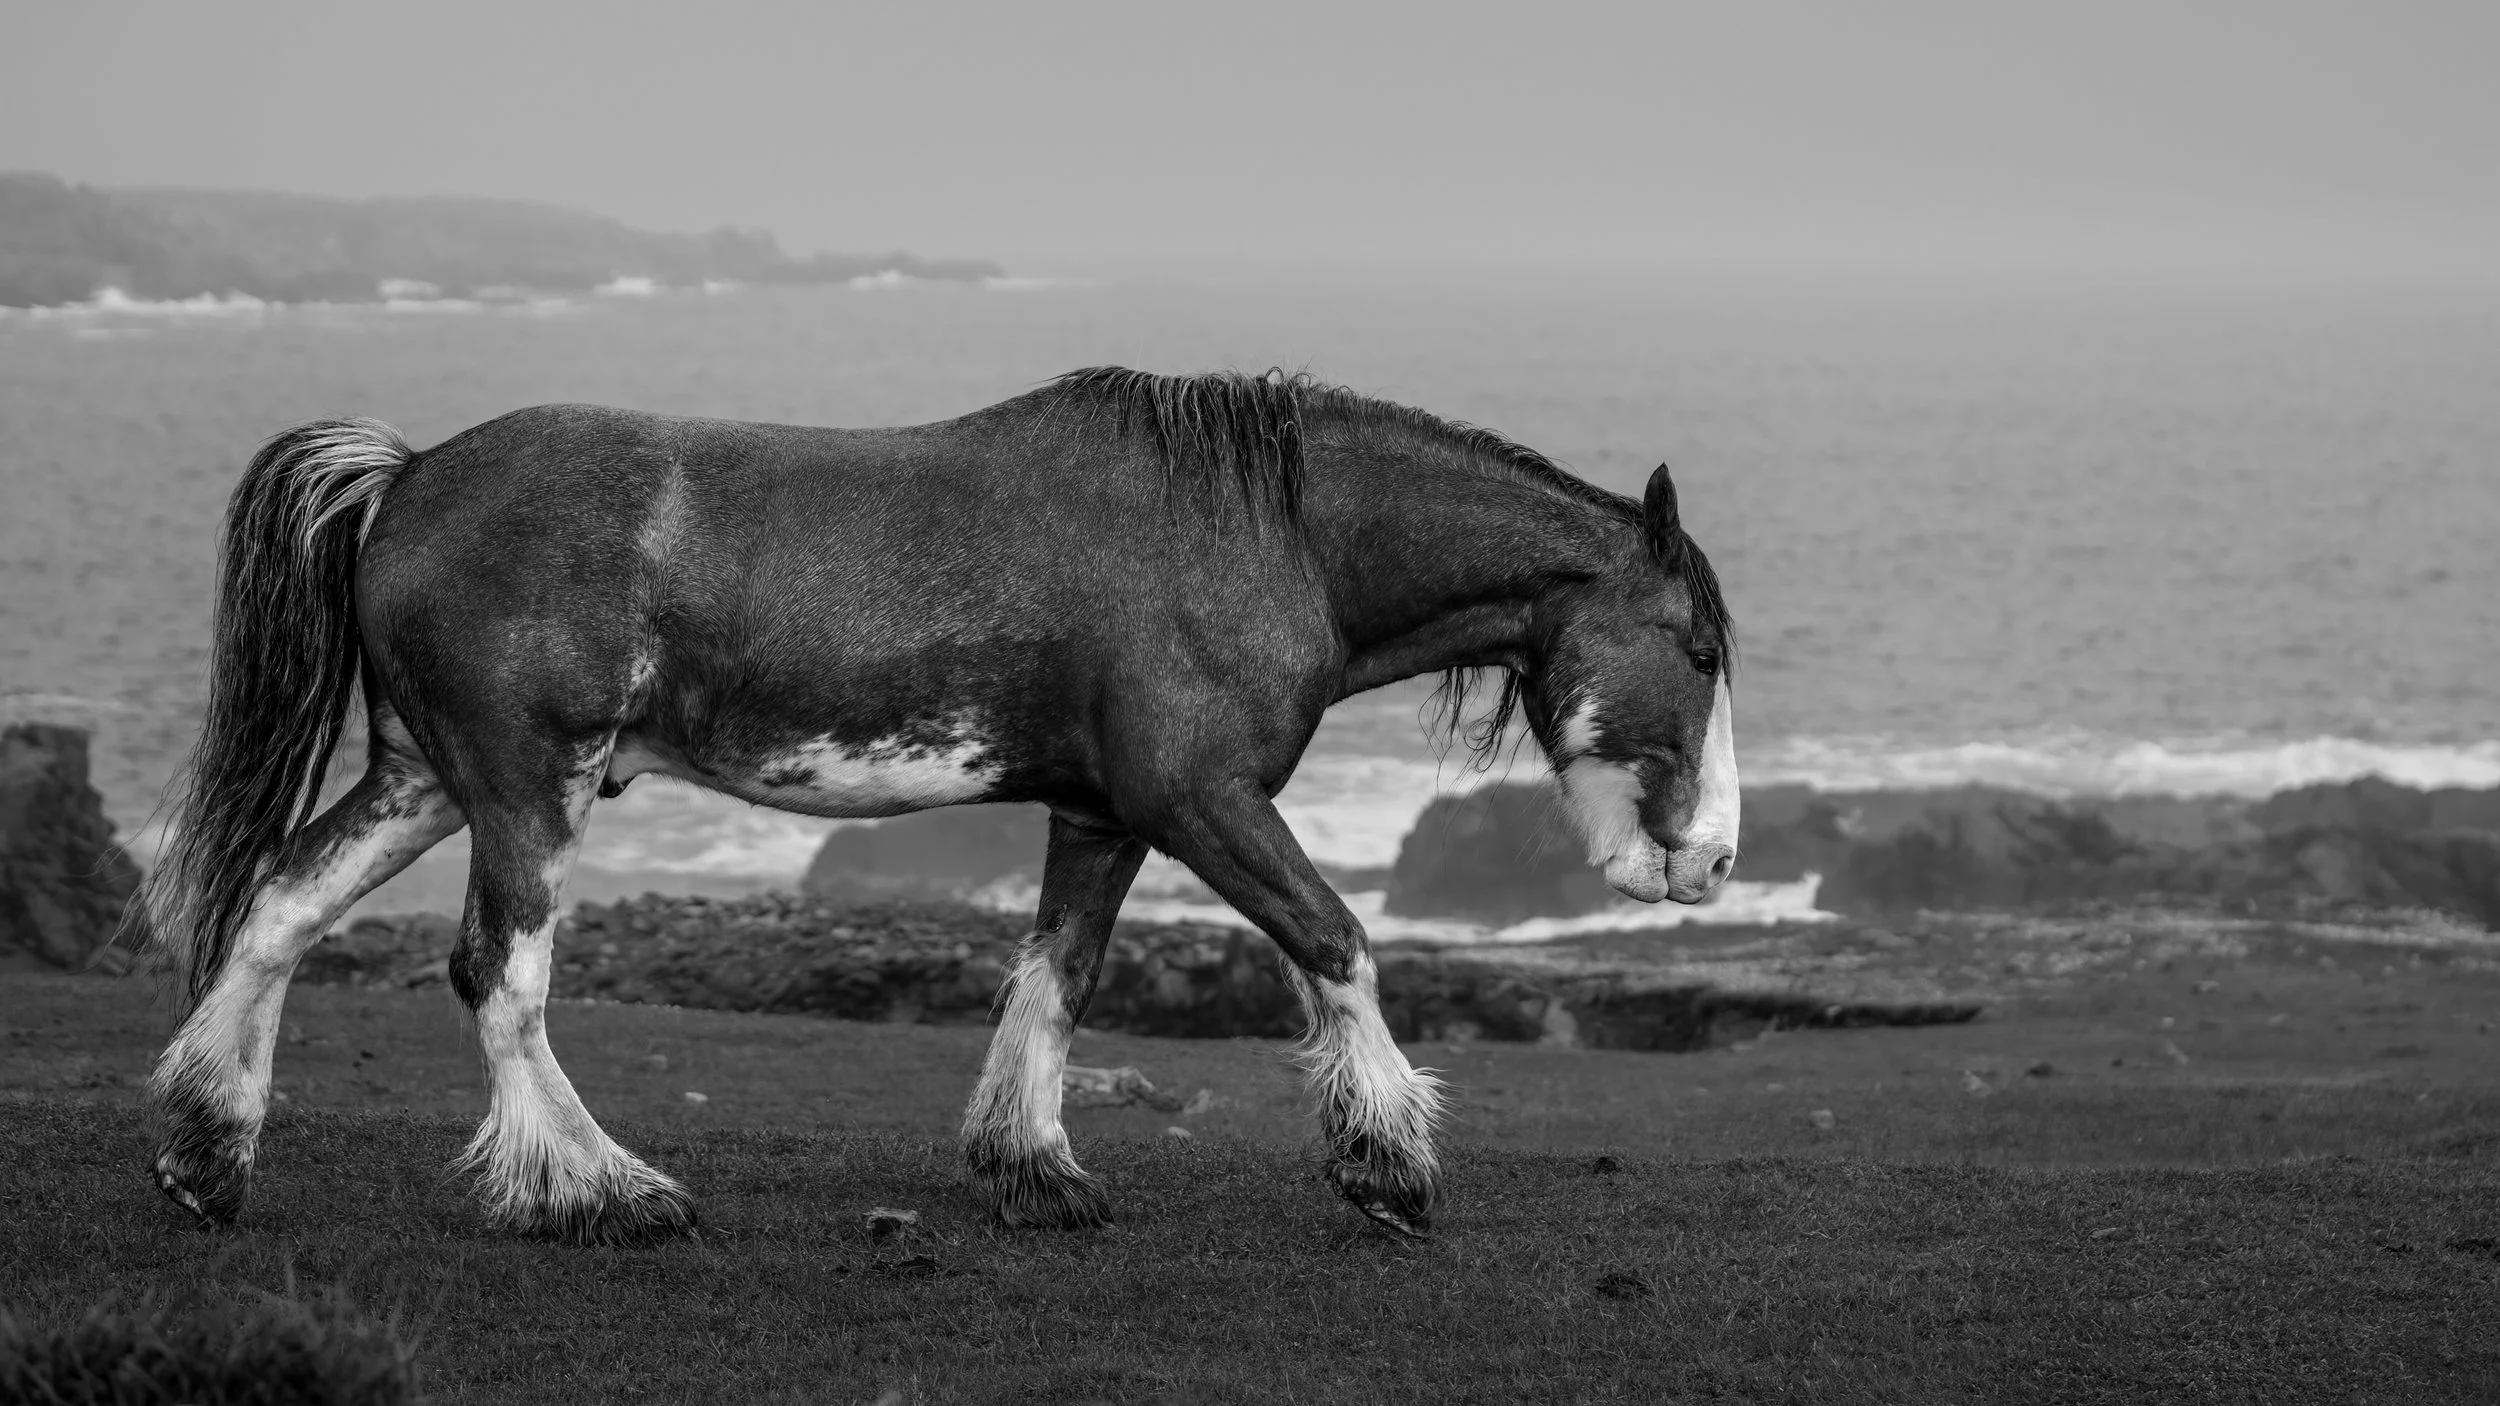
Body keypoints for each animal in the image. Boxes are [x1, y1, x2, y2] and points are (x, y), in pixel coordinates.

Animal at [138, 366, 1739, 1244]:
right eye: (1699, 646)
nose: (1713, 858)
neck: (1268, 532)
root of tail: (405, 478)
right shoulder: (1201, 798)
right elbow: (1338, 939)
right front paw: (1387, 1162)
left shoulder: (1105, 811)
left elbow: (1057, 979)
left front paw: (1031, 1168)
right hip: (530, 781)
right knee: (499, 973)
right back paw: (596, 1189)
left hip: (424, 774)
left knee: (278, 908)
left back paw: (208, 1154)